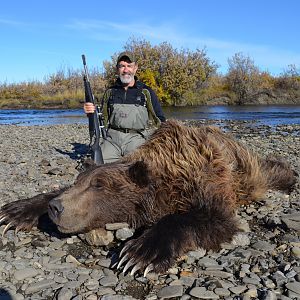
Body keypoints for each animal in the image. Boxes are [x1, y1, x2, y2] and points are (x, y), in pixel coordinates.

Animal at [0, 120, 296, 276]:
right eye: (80, 182)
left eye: (99, 185)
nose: (57, 208)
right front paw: (15, 211)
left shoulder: (209, 178)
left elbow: (211, 219)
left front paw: (139, 253)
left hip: (251, 173)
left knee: (270, 171)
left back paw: (289, 177)